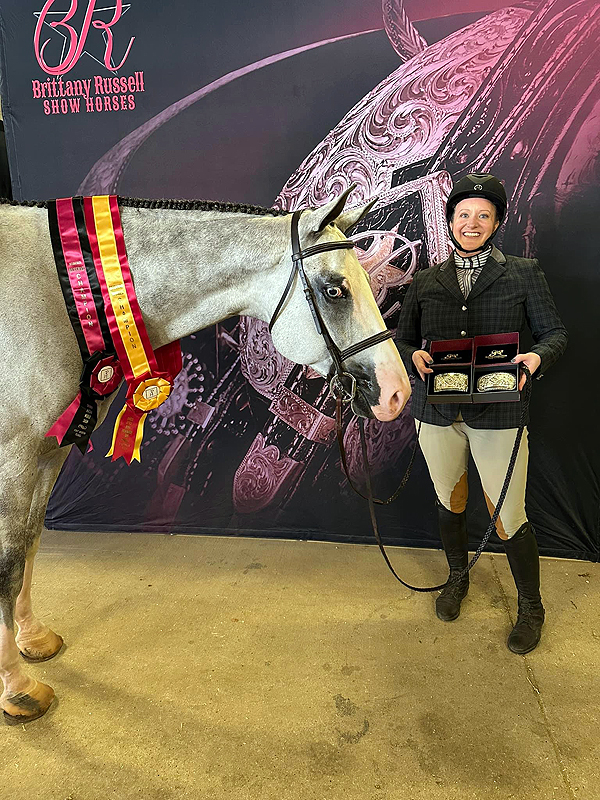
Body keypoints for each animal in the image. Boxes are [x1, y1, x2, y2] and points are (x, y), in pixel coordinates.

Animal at [0, 184, 410, 720]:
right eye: (335, 290)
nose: (397, 393)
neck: (58, 297)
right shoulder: (15, 459)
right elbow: (8, 565)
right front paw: (17, 688)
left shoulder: (47, 453)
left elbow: (29, 543)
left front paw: (32, 639)